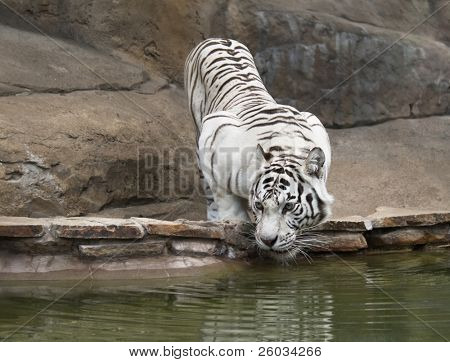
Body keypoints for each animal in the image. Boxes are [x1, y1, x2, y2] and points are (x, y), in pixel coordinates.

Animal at [184, 39, 334, 260]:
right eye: (259, 205)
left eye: (289, 206)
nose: (268, 241)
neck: (285, 149)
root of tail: (217, 39)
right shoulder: (214, 137)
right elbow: (231, 213)